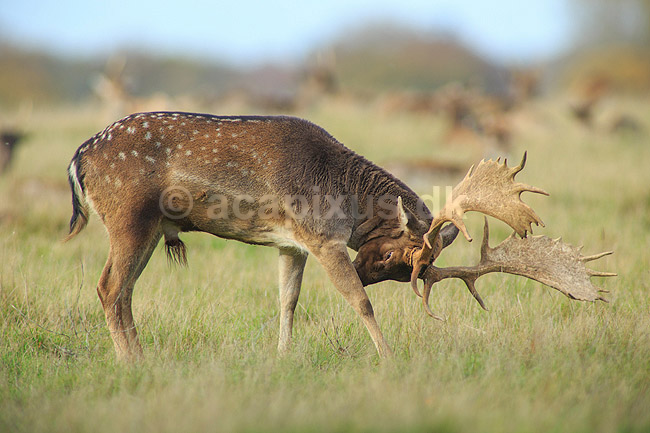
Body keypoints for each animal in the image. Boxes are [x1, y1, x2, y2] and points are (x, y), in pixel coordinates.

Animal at [65, 112, 615, 361]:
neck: (346, 197)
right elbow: (357, 303)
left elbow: (287, 301)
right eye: (395, 258)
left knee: (122, 292)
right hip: (130, 217)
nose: (369, 272)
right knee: (110, 287)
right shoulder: (323, 237)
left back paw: (140, 357)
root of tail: (79, 158)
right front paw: (389, 358)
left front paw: (282, 358)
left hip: (147, 230)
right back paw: (133, 363)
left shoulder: (291, 244)